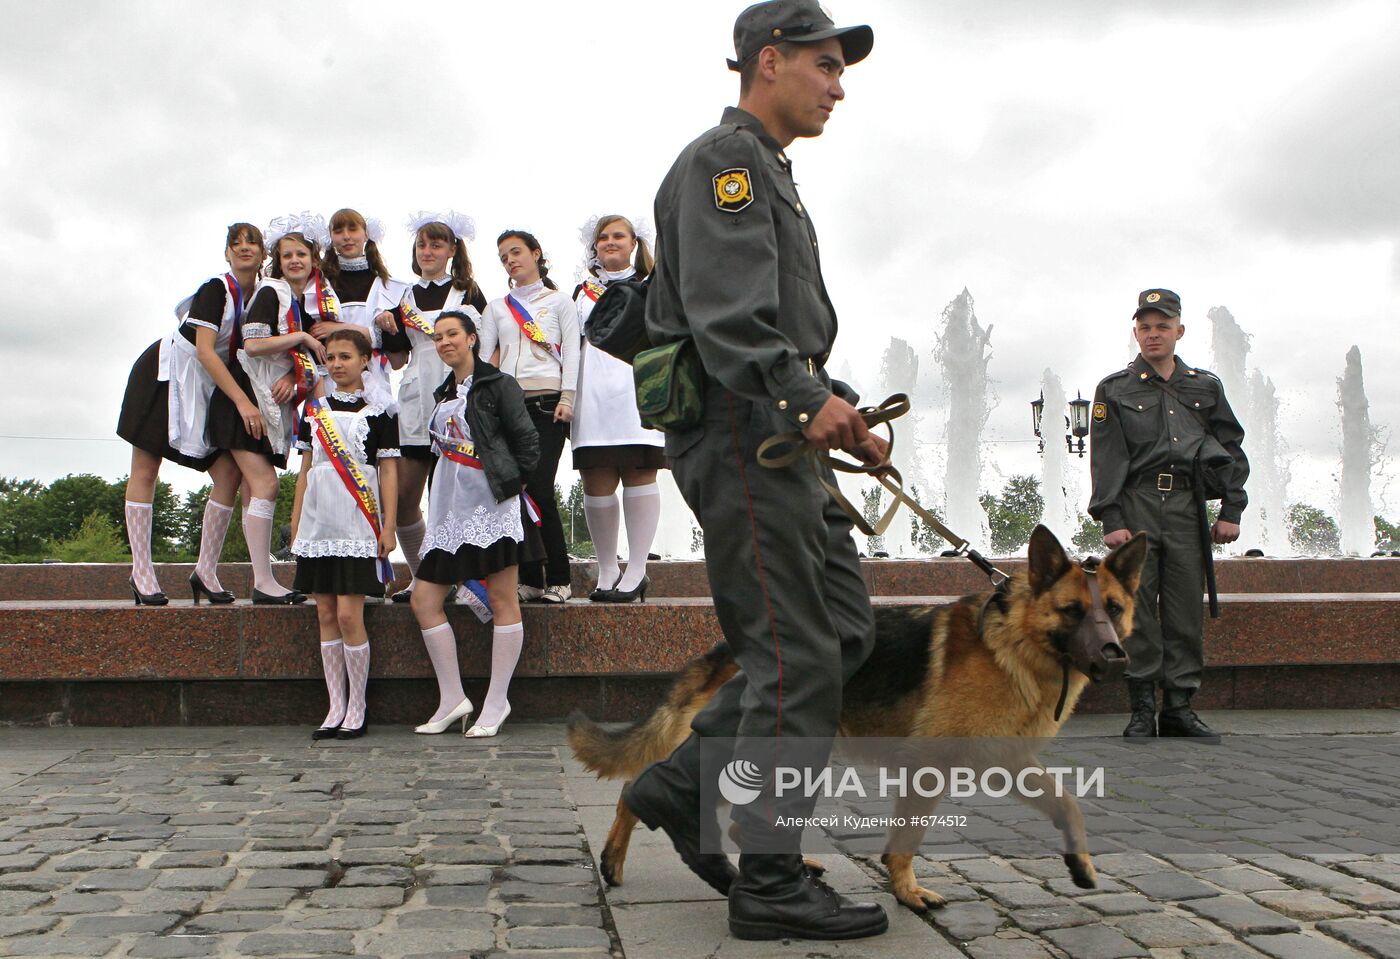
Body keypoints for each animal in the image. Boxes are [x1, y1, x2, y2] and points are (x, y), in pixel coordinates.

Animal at [568, 526, 1148, 907]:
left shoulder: (1008, 761)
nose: (1116, 656)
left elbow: (1067, 803)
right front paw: (906, 891)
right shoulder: (929, 767)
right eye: (1072, 611)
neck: (1015, 644)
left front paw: (1081, 864)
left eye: (1114, 609)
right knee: (638, 788)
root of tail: (723, 651)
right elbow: (908, 837)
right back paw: (617, 856)